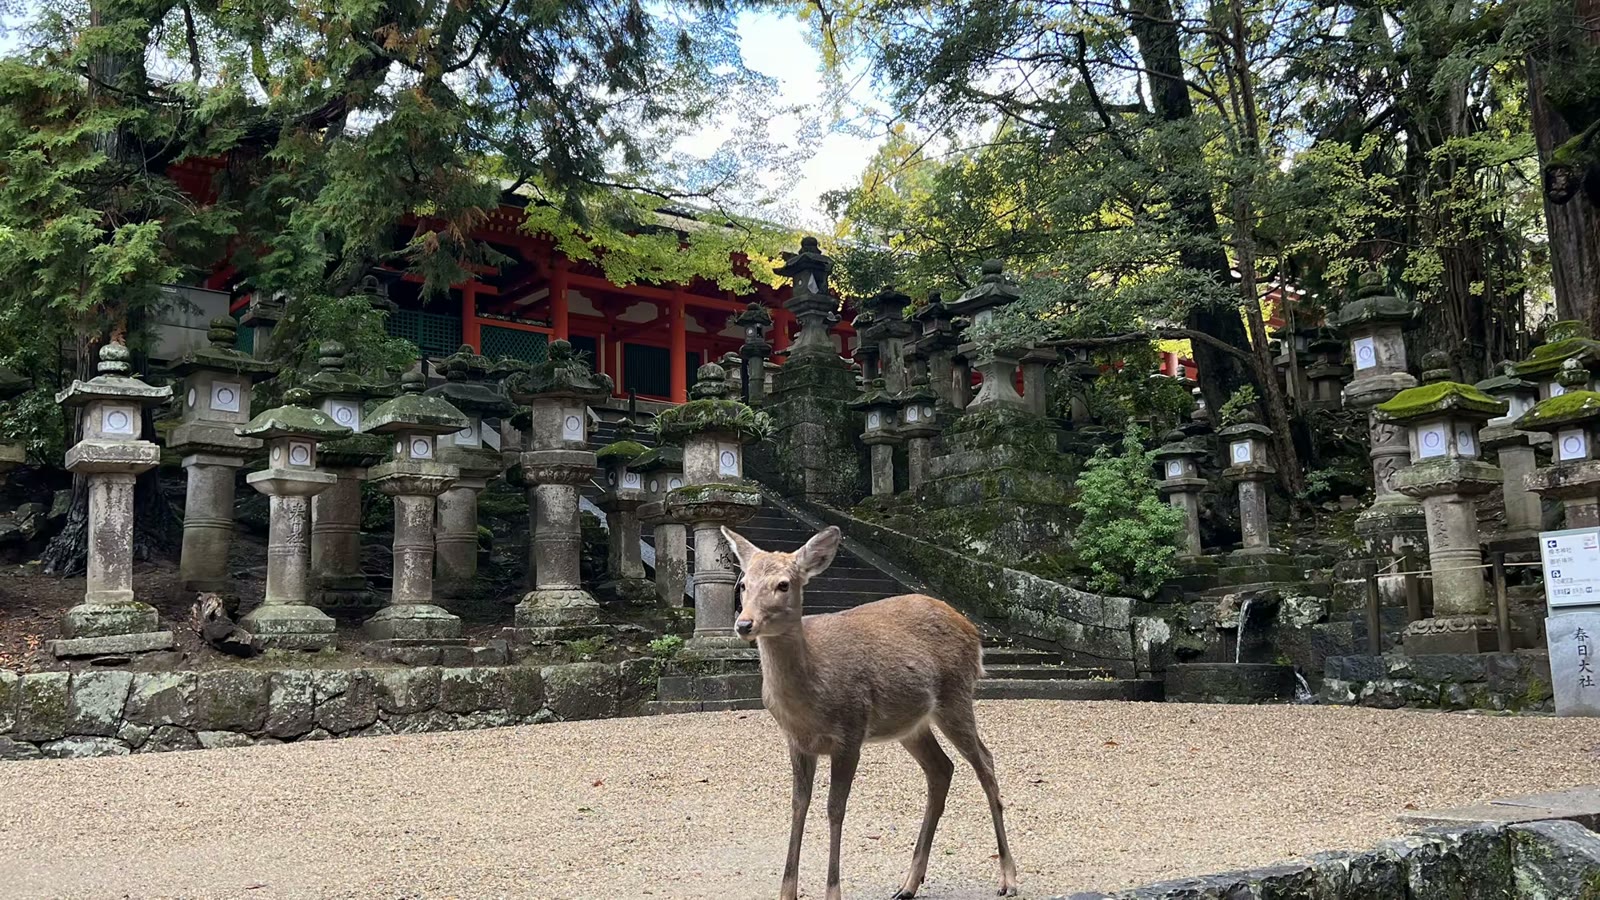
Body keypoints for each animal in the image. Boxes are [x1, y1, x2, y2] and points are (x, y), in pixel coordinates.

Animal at [722, 524, 1018, 900]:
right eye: (743, 583)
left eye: (784, 584)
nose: (744, 624)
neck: (811, 699)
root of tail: (975, 634)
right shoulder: (796, 741)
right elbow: (798, 805)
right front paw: (787, 893)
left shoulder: (851, 730)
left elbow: (835, 808)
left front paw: (833, 892)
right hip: (912, 724)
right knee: (942, 768)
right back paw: (908, 884)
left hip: (956, 696)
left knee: (985, 762)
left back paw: (1008, 878)